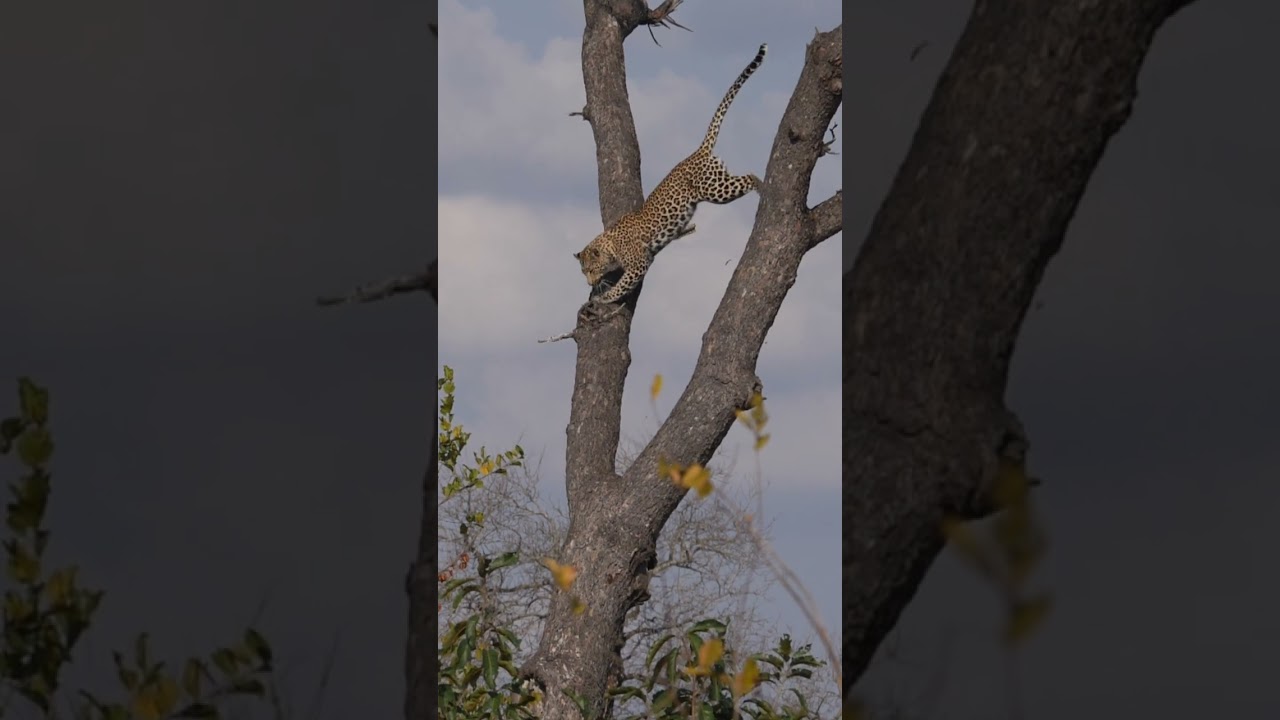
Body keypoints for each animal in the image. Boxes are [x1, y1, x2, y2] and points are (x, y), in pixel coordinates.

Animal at [574, 43, 767, 311]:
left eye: (592, 269)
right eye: (584, 272)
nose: (589, 282)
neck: (610, 245)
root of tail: (698, 151)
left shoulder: (638, 264)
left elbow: (622, 285)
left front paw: (605, 297)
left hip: (716, 189)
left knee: (749, 176)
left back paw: (764, 188)